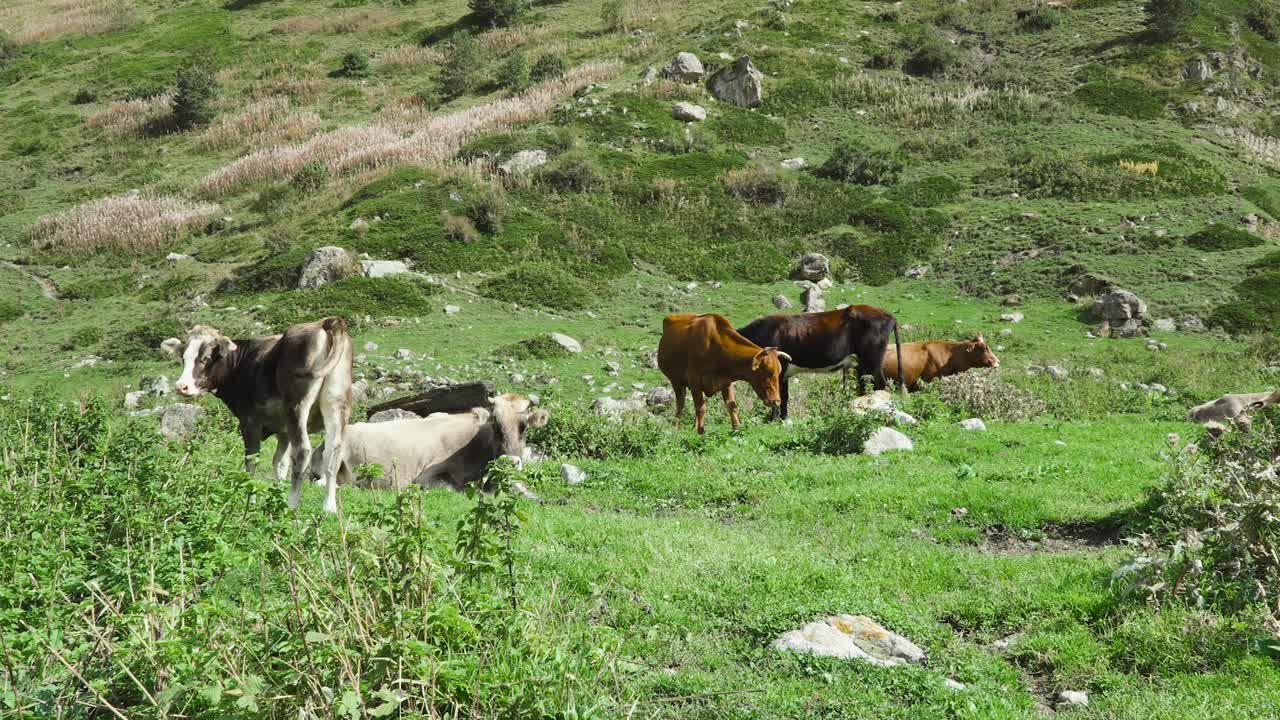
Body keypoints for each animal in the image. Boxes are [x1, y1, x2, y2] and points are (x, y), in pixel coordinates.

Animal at [165, 313, 358, 509]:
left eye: (205, 358)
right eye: (183, 357)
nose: (181, 387)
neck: (241, 366)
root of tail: (326, 322)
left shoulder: (249, 422)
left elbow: (252, 460)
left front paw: (250, 499)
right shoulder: (283, 431)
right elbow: (280, 463)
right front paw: (278, 494)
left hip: (297, 407)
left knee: (303, 452)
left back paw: (291, 506)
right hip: (337, 404)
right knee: (332, 452)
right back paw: (329, 507)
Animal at [660, 310, 788, 430]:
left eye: (779, 373)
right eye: (768, 373)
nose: (776, 401)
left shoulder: (727, 382)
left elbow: (732, 406)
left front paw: (737, 428)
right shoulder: (694, 381)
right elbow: (701, 408)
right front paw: (701, 432)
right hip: (676, 382)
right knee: (680, 404)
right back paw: (677, 427)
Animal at [737, 303, 906, 420]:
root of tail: (887, 314)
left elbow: (777, 397)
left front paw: (775, 420)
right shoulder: (784, 373)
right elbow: (784, 396)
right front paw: (784, 420)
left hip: (872, 360)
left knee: (881, 384)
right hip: (861, 364)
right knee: (865, 386)